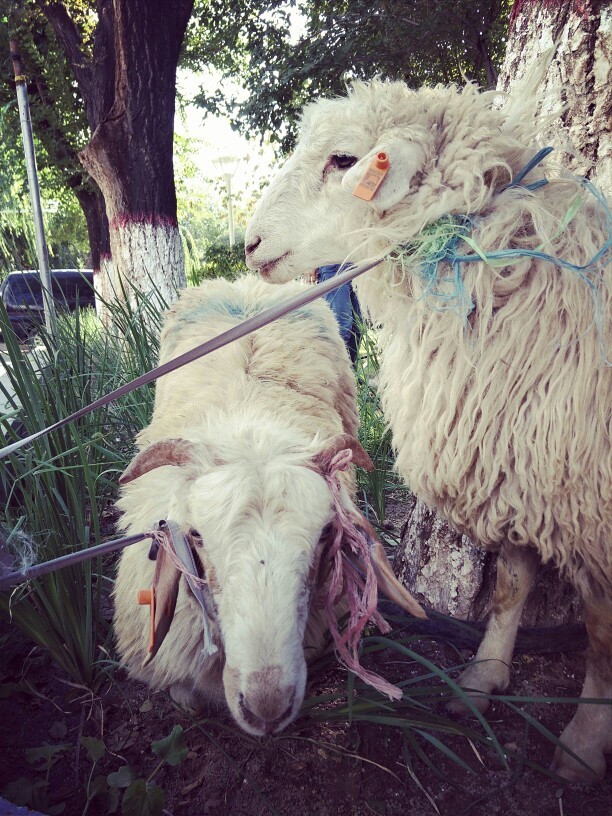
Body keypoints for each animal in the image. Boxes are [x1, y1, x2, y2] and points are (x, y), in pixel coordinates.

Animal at [245, 78, 612, 784]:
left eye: (343, 160)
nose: (248, 243)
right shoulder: (514, 459)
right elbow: (511, 583)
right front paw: (481, 680)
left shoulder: (588, 506)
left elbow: (602, 633)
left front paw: (583, 744)